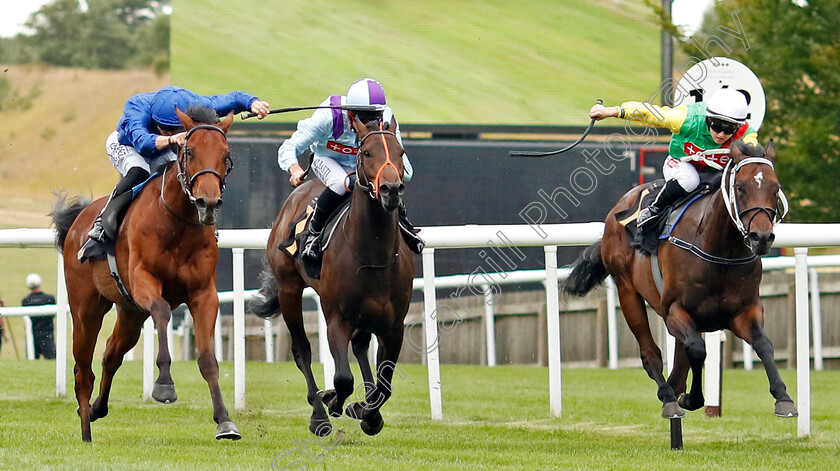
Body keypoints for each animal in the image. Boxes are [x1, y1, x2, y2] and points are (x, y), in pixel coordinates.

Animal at [51, 106, 240, 442]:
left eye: (225, 154)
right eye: (189, 151)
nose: (207, 203)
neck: (177, 223)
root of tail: (77, 222)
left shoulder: (204, 294)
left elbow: (207, 360)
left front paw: (225, 421)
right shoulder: (143, 281)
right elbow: (163, 311)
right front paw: (164, 385)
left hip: (130, 313)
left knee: (111, 354)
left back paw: (97, 409)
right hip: (86, 310)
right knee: (83, 369)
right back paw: (86, 428)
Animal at [253, 115, 416, 438]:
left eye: (401, 152)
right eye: (367, 152)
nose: (391, 189)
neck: (373, 254)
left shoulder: (394, 326)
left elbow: (385, 384)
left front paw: (367, 413)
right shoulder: (336, 318)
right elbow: (342, 378)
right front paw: (333, 401)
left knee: (361, 345)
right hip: (289, 290)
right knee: (301, 350)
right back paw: (319, 415)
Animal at [560, 140, 796, 420]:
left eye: (775, 188)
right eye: (740, 187)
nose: (762, 237)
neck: (721, 252)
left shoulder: (744, 311)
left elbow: (764, 344)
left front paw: (783, 398)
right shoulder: (675, 310)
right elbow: (696, 348)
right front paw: (691, 398)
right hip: (627, 291)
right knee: (650, 352)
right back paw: (669, 397)